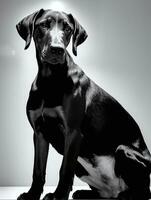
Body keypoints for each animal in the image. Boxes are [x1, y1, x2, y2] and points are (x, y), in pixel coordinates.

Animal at [16, 8, 151, 200]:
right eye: (43, 25)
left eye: (68, 29)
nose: (57, 50)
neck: (50, 80)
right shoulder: (39, 132)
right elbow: (38, 170)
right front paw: (32, 194)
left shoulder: (73, 133)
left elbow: (64, 169)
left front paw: (58, 196)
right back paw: (85, 193)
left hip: (124, 150)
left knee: (141, 191)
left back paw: (126, 196)